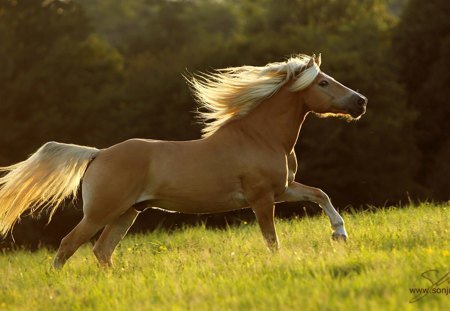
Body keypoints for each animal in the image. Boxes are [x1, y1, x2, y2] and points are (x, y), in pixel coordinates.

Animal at [0, 53, 366, 268]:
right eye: (323, 82)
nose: (360, 102)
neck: (260, 136)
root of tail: (98, 154)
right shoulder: (262, 198)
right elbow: (271, 238)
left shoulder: (283, 189)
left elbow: (320, 195)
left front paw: (340, 234)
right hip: (100, 213)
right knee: (67, 246)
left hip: (126, 213)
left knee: (102, 250)